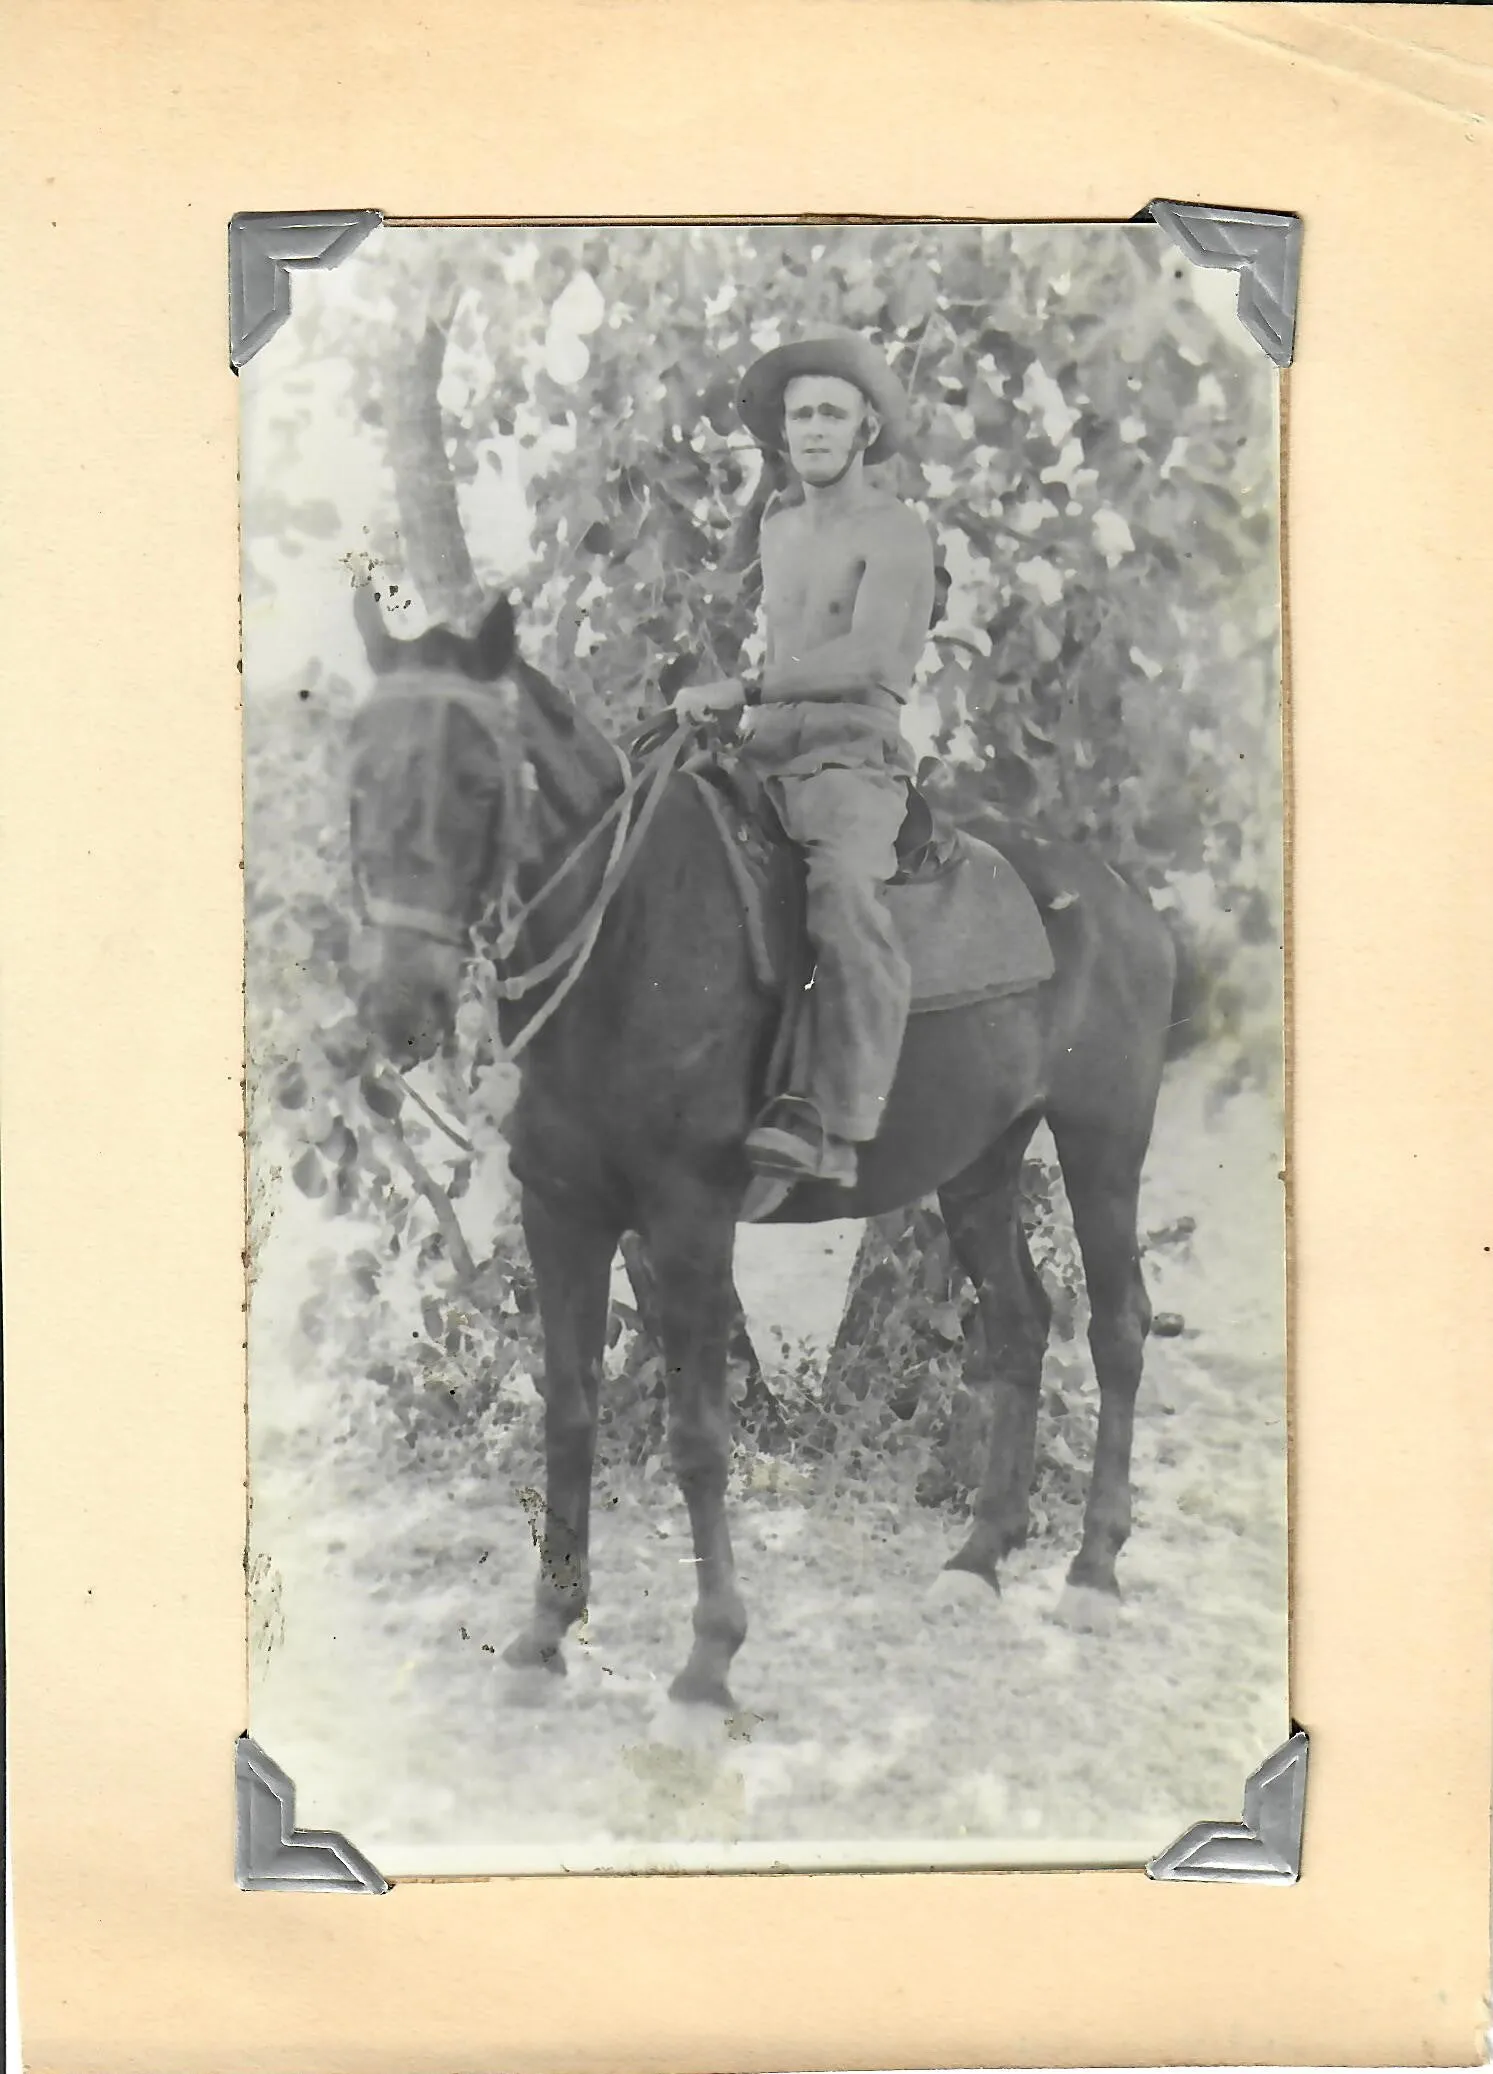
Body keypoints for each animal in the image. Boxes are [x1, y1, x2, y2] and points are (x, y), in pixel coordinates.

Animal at [346, 589, 1177, 1717]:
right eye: (358, 778)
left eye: (480, 784)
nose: (400, 1010)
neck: (628, 933)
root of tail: (1125, 900)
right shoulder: (559, 1211)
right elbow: (569, 1412)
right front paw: (544, 1634)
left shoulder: (690, 1219)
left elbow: (700, 1436)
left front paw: (709, 1659)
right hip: (979, 1164)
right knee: (1017, 1323)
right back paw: (978, 1556)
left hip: (1101, 1143)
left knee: (1118, 1328)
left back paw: (1091, 1569)